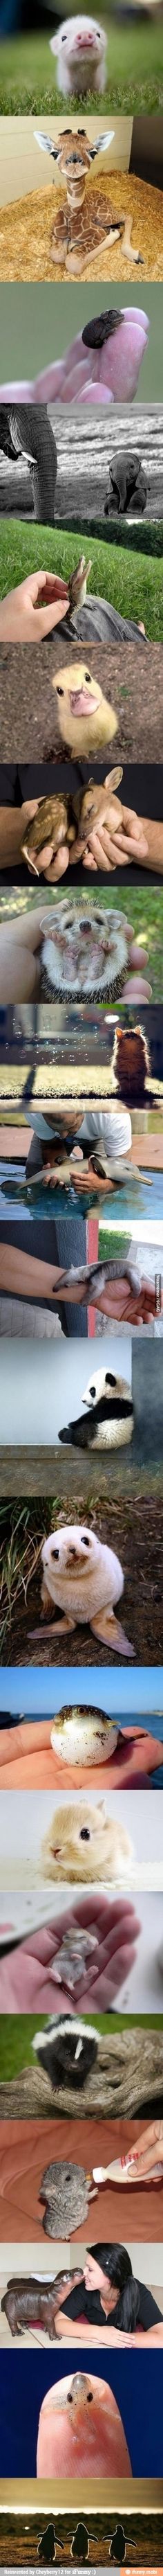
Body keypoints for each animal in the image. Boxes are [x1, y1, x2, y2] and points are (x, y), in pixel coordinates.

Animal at [35, 129, 142, 278]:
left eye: (93, 152)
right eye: (54, 153)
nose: (74, 163)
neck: (72, 215)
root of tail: (105, 196)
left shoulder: (98, 233)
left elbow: (73, 262)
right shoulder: (55, 233)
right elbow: (58, 255)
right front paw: (70, 243)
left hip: (104, 216)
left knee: (128, 216)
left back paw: (133, 253)